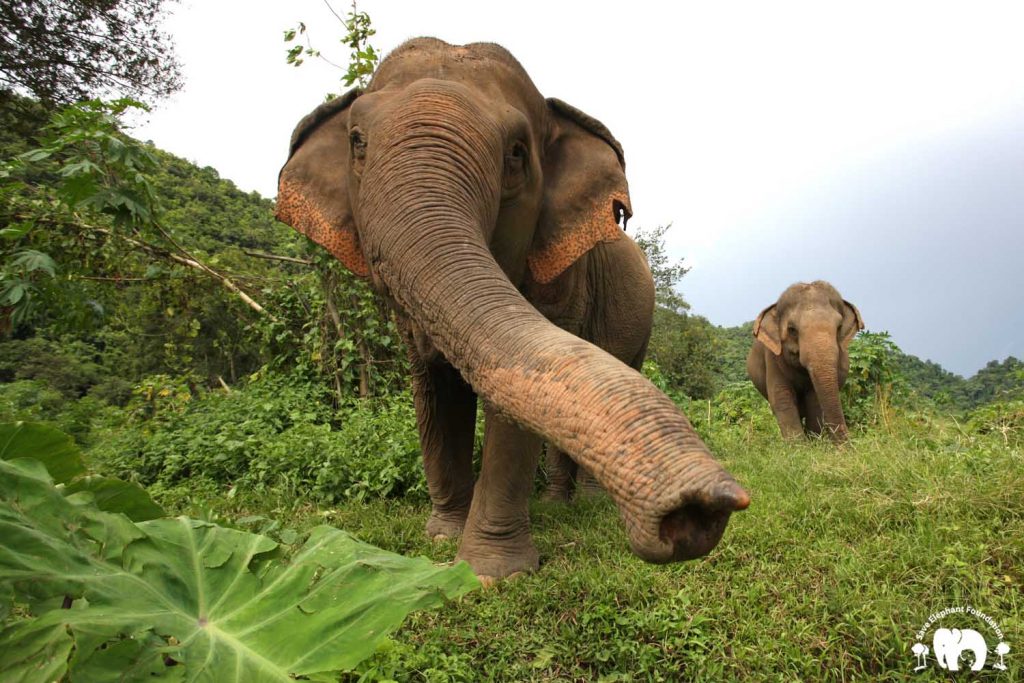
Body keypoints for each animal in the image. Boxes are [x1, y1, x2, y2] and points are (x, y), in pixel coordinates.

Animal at [276, 38, 749, 581]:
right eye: (357, 141)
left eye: (517, 154)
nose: (698, 512)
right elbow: (435, 386)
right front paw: (442, 538)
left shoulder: (560, 273)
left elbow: (518, 388)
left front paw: (490, 574)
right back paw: (555, 505)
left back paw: (585, 504)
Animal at [745, 278, 864, 444]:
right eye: (792, 329)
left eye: (839, 327)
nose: (848, 444)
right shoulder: (772, 358)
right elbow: (782, 399)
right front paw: (798, 446)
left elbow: (814, 401)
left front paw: (813, 442)